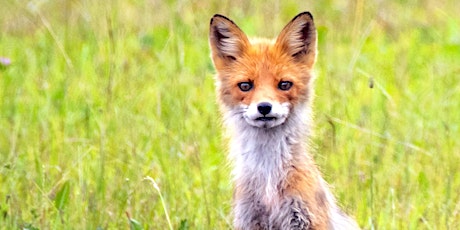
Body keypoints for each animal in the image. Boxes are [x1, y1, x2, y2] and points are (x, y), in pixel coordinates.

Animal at [208, 11, 360, 229]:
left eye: (284, 84)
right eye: (245, 86)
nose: (264, 107)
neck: (268, 183)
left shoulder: (305, 218)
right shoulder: (249, 219)